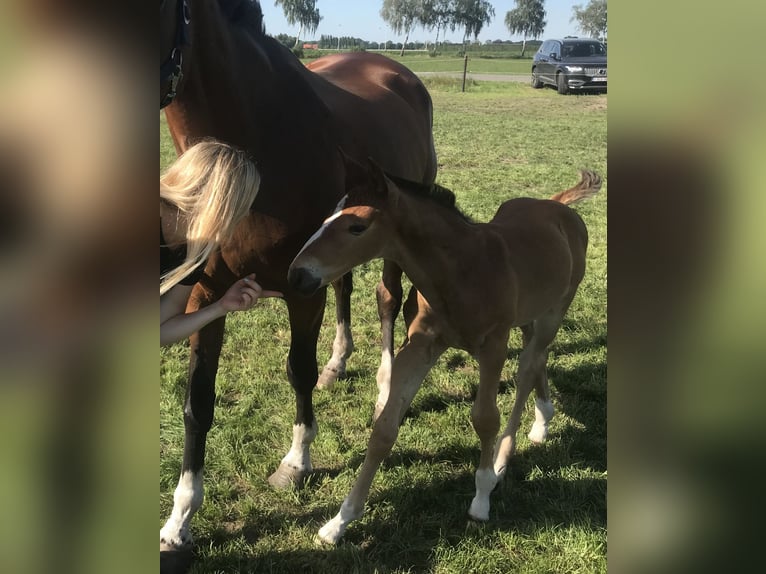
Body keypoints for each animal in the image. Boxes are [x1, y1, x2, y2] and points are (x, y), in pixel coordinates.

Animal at [286, 156, 600, 544]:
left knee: (528, 368)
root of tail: (557, 206)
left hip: (554, 312)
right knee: (536, 359)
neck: (461, 271)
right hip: (530, 315)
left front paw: (481, 498)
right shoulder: (420, 345)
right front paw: (339, 521)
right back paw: (542, 421)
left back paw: (503, 458)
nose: (297, 275)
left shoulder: (493, 348)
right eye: (326, 217)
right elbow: (384, 429)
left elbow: (485, 418)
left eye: (357, 227)